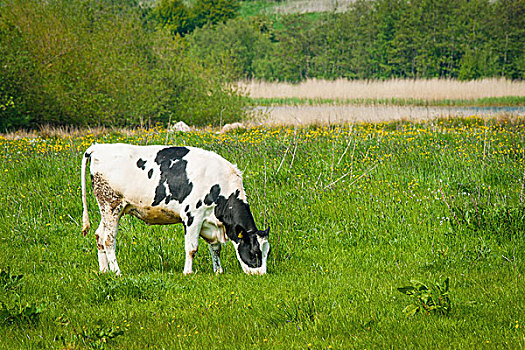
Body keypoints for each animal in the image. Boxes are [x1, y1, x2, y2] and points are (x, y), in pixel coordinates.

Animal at [83, 142, 270, 276]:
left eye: (267, 252)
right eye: (254, 252)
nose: (261, 275)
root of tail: (98, 147)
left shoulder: (209, 222)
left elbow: (216, 248)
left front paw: (218, 271)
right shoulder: (192, 215)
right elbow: (192, 248)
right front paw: (188, 272)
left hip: (110, 210)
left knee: (99, 235)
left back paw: (104, 270)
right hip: (111, 205)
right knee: (108, 239)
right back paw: (117, 272)